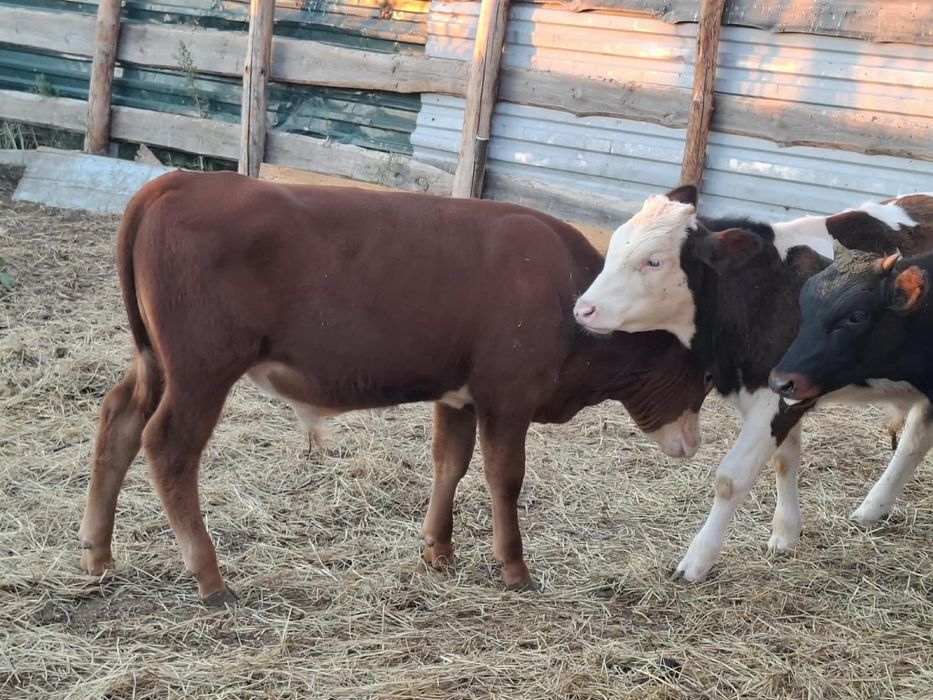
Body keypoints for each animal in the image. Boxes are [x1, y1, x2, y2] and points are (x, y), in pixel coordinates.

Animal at [80, 170, 710, 605]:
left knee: (119, 419)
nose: (695, 445)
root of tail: (179, 180)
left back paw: (98, 552)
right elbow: (504, 479)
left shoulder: (459, 396)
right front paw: (514, 568)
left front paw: (438, 550)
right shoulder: (508, 396)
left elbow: (449, 464)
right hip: (201, 368)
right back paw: (209, 578)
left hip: (156, 361)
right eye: (703, 374)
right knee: (169, 447)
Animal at [572, 187, 933, 583]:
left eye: (654, 262)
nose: (583, 309)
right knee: (914, 442)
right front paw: (785, 534)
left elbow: (731, 478)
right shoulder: (781, 389)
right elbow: (785, 460)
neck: (759, 291)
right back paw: (873, 508)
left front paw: (698, 559)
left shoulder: (774, 398)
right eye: (615, 247)